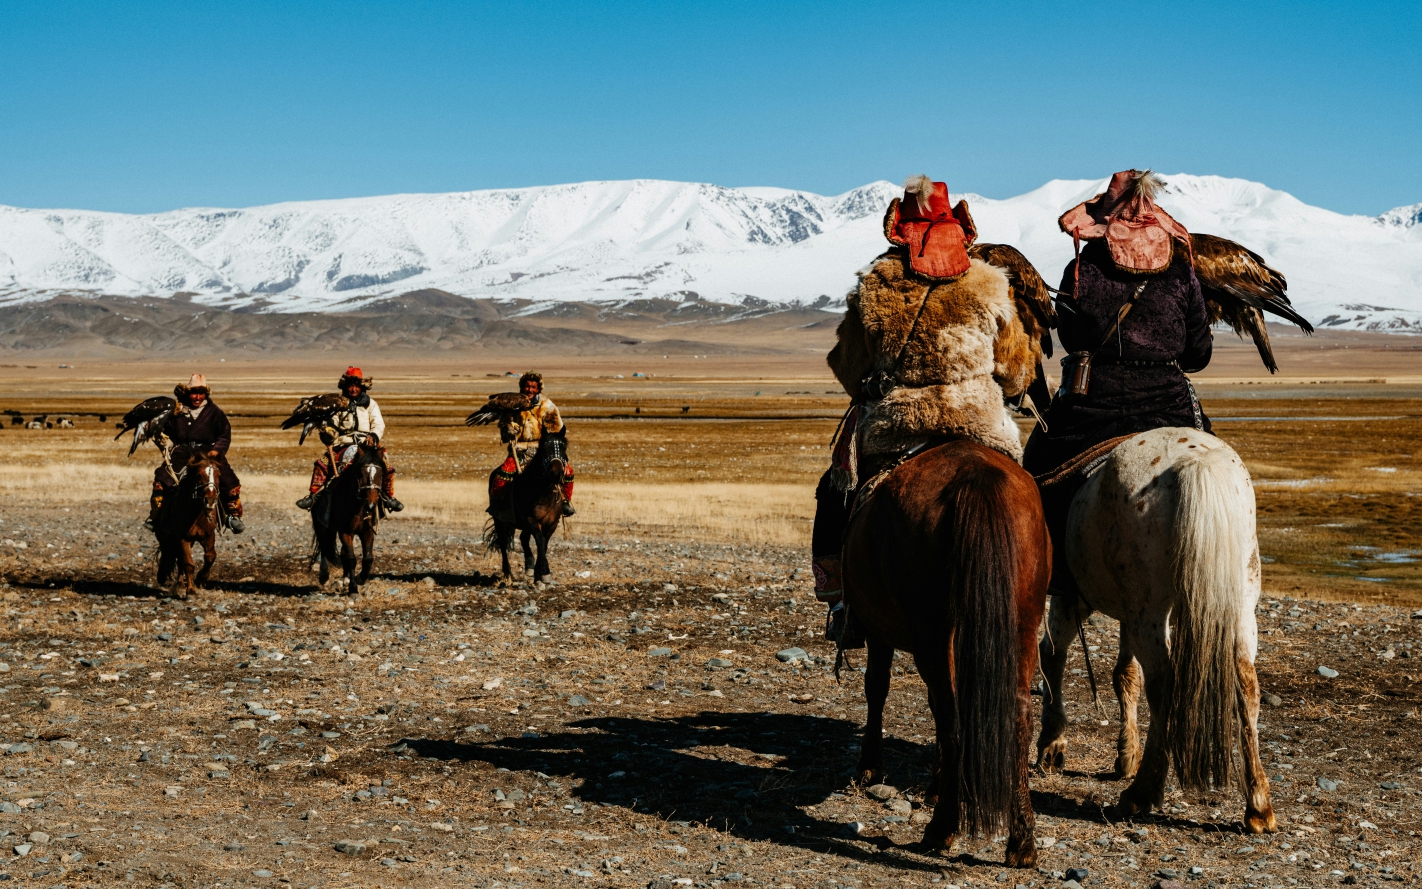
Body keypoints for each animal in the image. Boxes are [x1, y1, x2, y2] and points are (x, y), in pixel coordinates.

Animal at [156, 449, 221, 597]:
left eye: (218, 475)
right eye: (199, 475)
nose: (210, 500)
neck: (196, 515)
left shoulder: (209, 535)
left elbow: (210, 556)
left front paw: (201, 578)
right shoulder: (182, 538)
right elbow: (188, 563)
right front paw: (191, 589)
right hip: (168, 538)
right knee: (171, 556)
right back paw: (167, 578)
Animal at [314, 438, 383, 591]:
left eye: (380, 476)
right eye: (360, 474)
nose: (371, 505)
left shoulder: (367, 531)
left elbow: (368, 558)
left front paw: (360, 579)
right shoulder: (345, 532)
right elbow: (351, 559)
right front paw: (353, 588)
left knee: (340, 552)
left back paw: (345, 578)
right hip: (321, 526)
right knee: (324, 548)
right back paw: (324, 576)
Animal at [489, 429, 565, 583]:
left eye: (563, 447)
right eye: (544, 449)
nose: (556, 473)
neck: (543, 494)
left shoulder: (552, 523)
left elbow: (544, 544)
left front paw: (539, 574)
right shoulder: (531, 520)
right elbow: (540, 541)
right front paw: (544, 573)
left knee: (523, 538)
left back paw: (529, 566)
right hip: (500, 520)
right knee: (503, 543)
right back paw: (508, 574)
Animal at [841, 440, 1057, 864]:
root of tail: (975, 475)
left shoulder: (878, 631)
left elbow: (876, 687)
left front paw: (869, 767)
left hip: (932, 633)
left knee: (951, 713)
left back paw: (941, 830)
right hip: (1022, 623)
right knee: (1017, 712)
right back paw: (1022, 841)